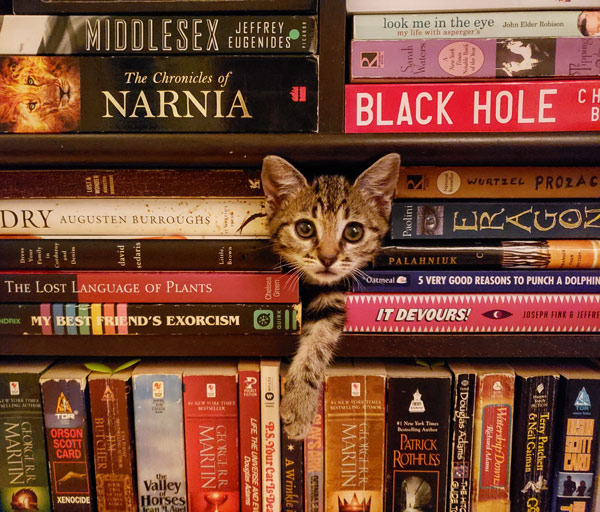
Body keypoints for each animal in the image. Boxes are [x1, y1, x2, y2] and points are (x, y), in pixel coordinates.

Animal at [262, 153, 398, 440]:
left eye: (354, 232)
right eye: (305, 228)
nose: (327, 258)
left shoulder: (334, 301)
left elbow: (317, 346)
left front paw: (299, 403)